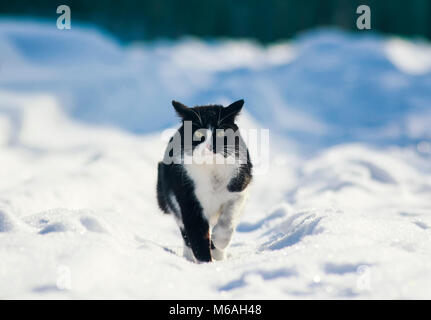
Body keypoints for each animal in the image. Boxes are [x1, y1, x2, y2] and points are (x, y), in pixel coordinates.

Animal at [157, 100, 253, 262]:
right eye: (198, 133)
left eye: (220, 132)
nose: (209, 146)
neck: (211, 168)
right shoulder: (188, 198)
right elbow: (197, 234)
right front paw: (206, 263)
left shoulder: (240, 187)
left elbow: (229, 219)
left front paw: (218, 242)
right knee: (185, 233)